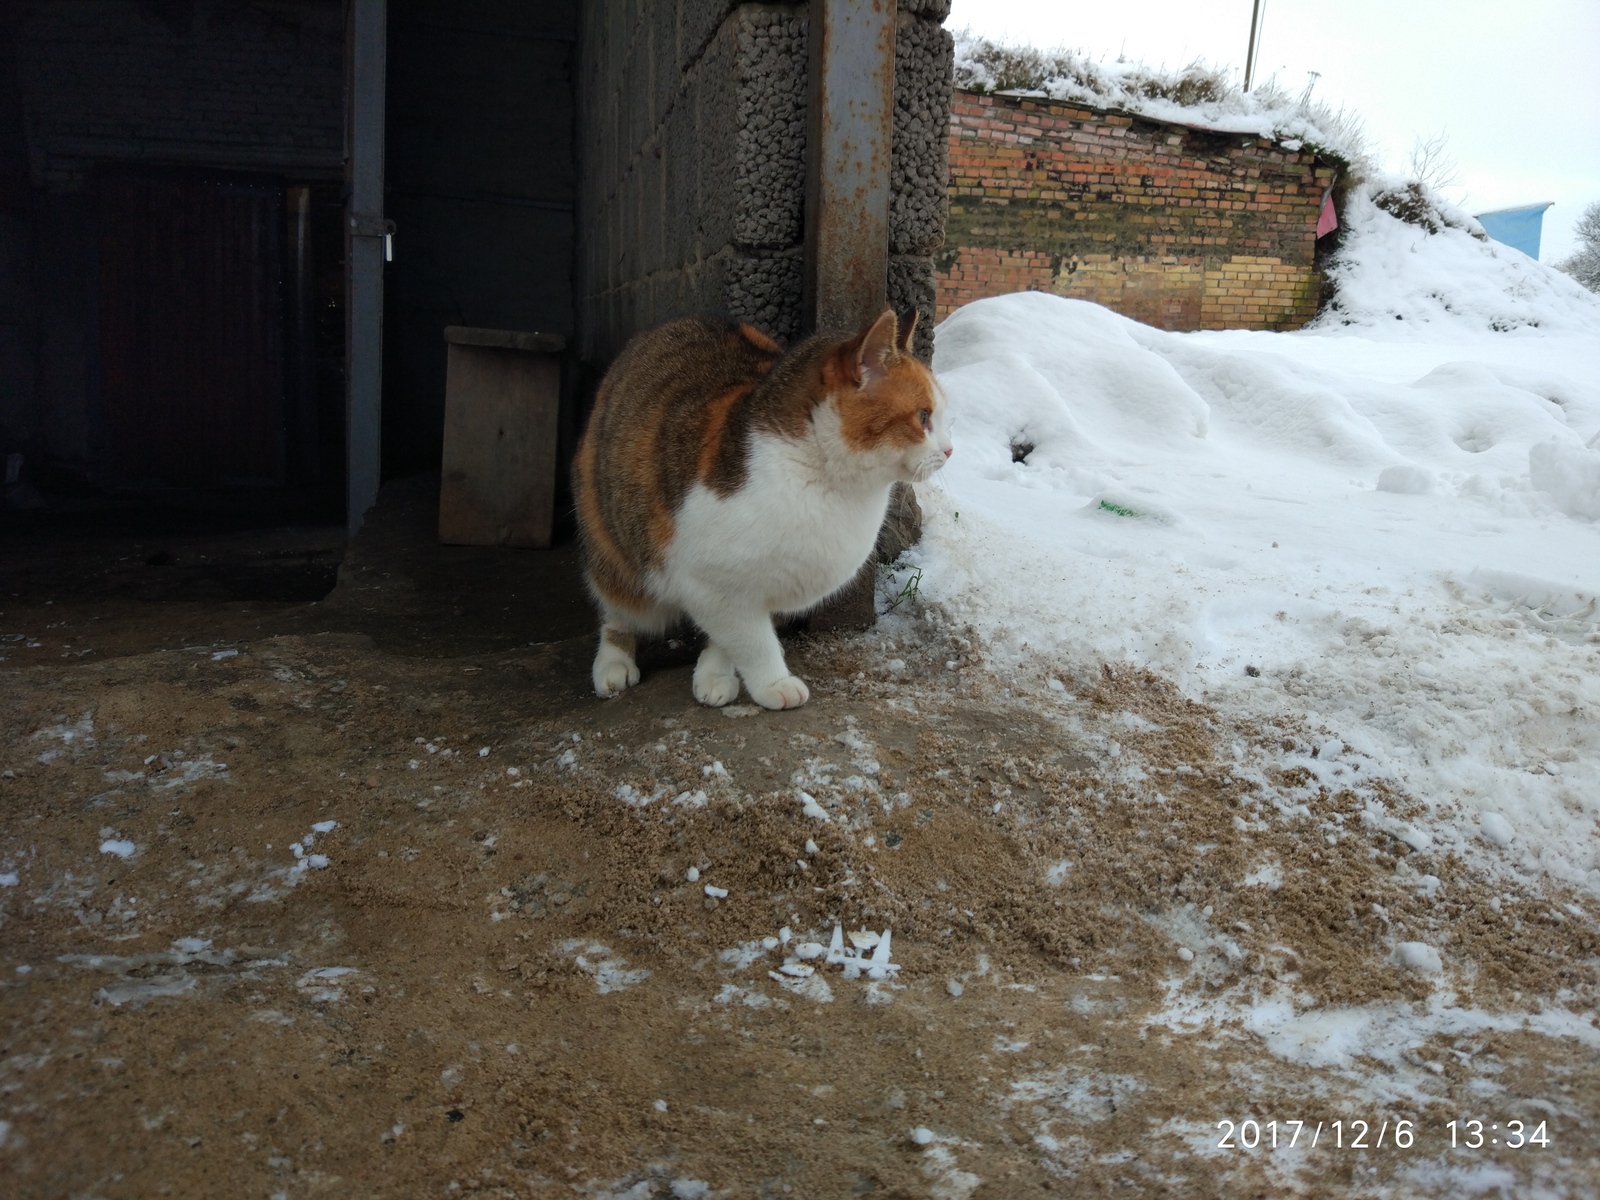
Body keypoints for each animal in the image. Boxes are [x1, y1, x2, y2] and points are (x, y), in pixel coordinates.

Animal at [576, 305, 947, 710]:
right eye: (923, 416)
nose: (949, 450)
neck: (832, 488)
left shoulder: (764, 588)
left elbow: (729, 639)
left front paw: (714, 673)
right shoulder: (709, 583)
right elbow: (752, 641)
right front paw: (773, 682)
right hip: (612, 545)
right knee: (618, 613)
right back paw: (613, 664)